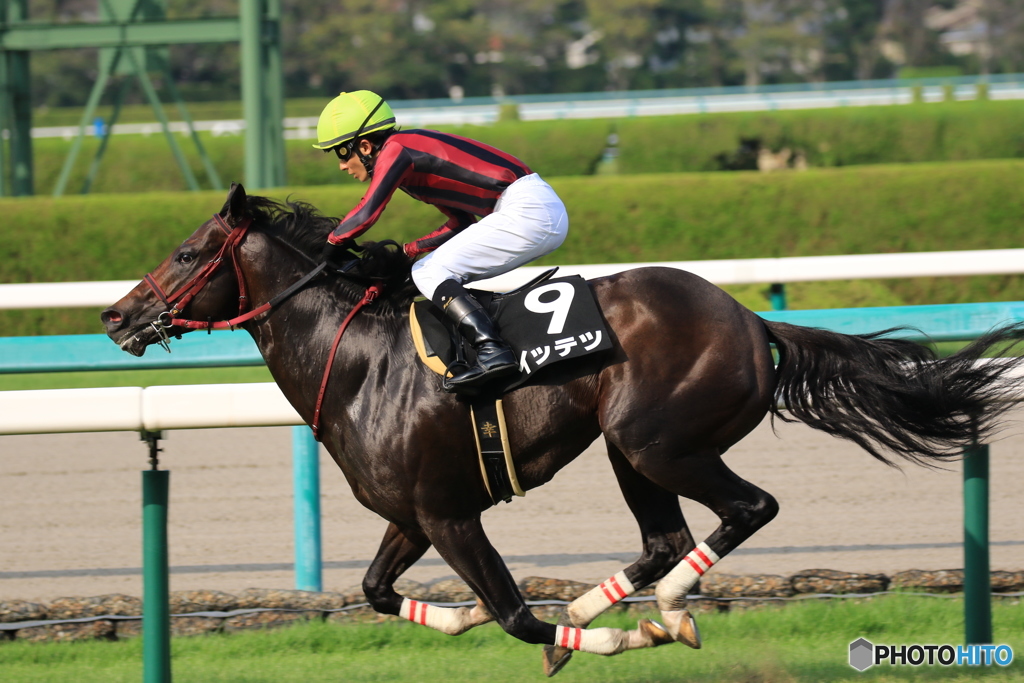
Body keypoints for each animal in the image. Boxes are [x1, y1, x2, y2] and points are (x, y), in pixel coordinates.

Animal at [102, 183, 1024, 674]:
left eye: (187, 253)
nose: (117, 313)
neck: (359, 359)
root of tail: (752, 319)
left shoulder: (449, 513)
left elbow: (513, 612)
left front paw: (592, 640)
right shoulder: (409, 514)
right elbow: (375, 589)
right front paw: (472, 620)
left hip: (659, 438)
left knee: (747, 507)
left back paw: (663, 608)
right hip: (627, 445)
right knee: (664, 537)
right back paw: (626, 605)